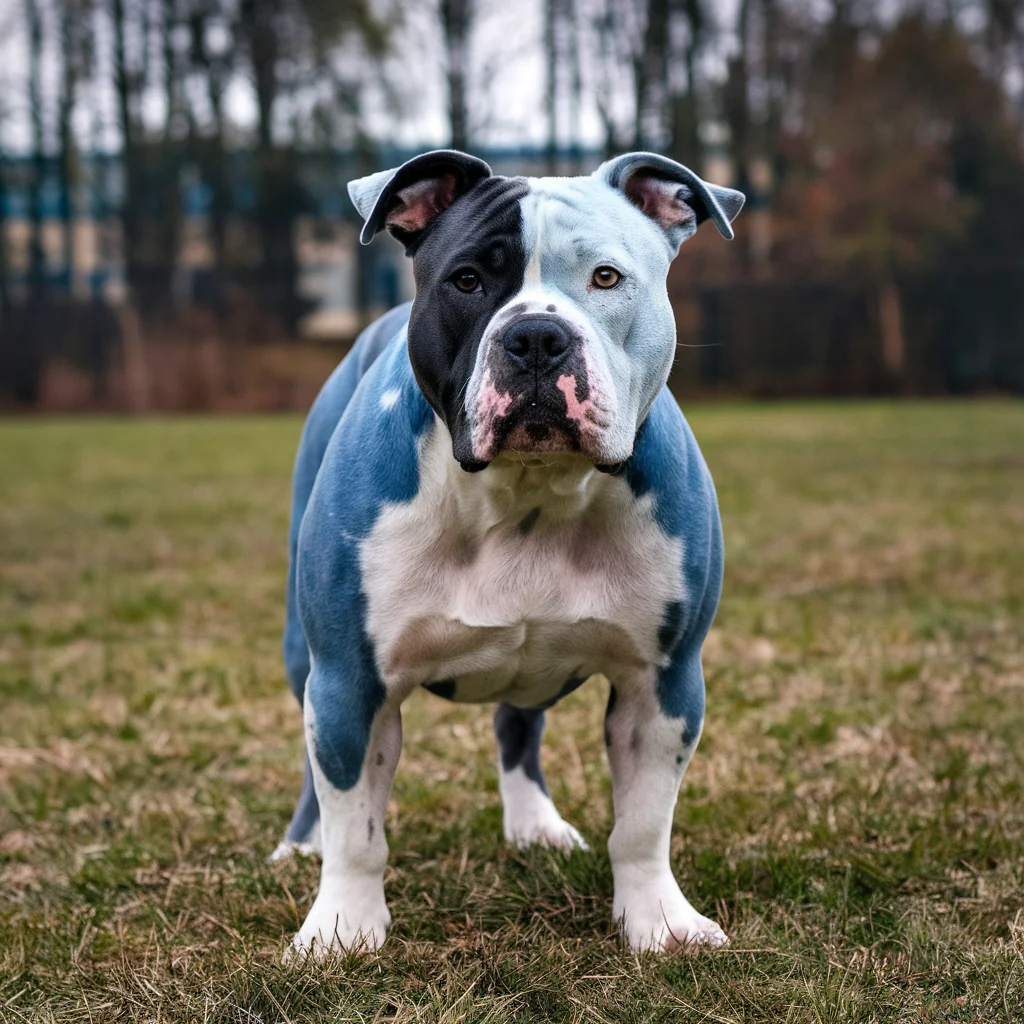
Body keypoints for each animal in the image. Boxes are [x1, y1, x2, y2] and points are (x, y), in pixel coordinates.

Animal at [274, 148, 745, 954]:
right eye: (467, 280)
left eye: (606, 277)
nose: (535, 338)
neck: (528, 493)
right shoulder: (349, 680)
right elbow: (355, 824)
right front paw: (342, 930)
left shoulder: (664, 681)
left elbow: (643, 824)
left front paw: (658, 922)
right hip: (304, 656)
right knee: (318, 780)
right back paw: (300, 845)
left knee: (517, 723)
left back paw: (535, 827)